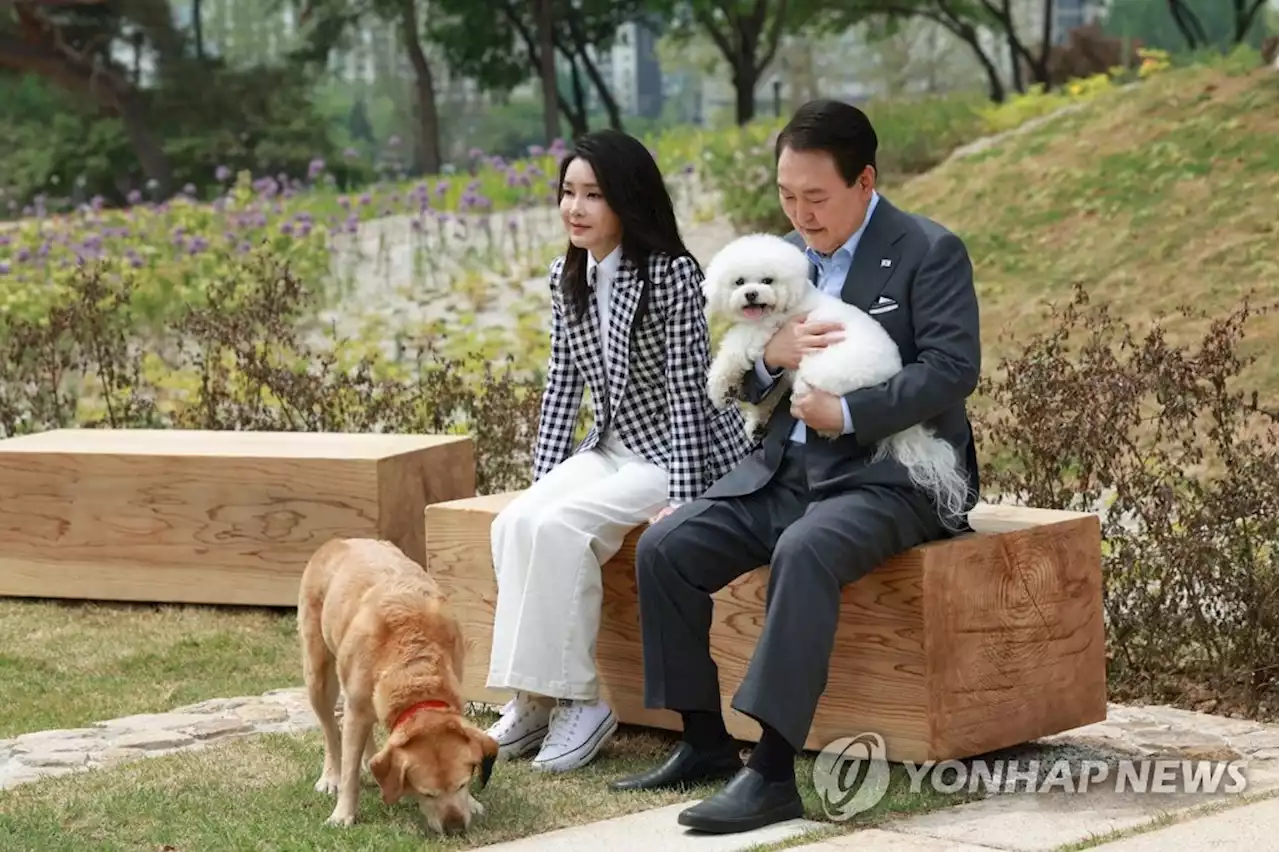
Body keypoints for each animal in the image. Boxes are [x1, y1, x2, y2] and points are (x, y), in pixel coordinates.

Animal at [299, 537, 499, 828]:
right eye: (426, 793)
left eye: (462, 784)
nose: (455, 829)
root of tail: (339, 541)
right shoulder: (356, 709)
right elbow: (349, 772)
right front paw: (343, 814)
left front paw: (472, 803)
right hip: (318, 676)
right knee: (331, 731)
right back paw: (330, 777)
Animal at [701, 232, 967, 524]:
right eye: (739, 282)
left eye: (767, 281)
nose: (751, 294)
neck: (787, 303)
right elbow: (770, 385)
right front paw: (756, 420)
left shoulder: (766, 331)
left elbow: (733, 349)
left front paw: (719, 387)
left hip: (823, 367)